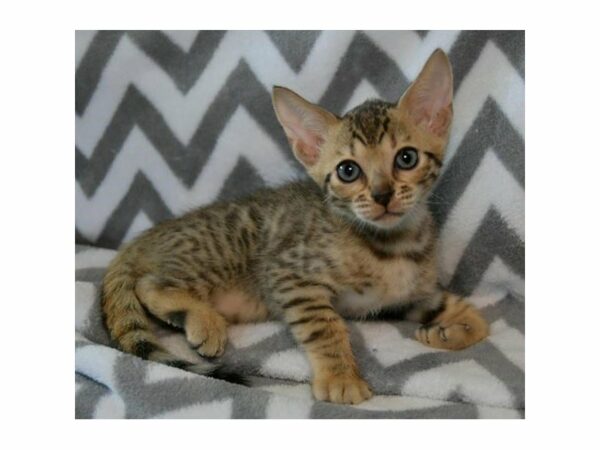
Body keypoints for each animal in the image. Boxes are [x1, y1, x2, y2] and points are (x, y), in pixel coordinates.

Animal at [102, 49, 488, 404]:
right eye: (348, 170)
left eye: (406, 158)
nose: (382, 196)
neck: (393, 242)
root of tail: (148, 235)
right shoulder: (289, 275)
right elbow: (323, 326)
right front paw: (340, 377)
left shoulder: (406, 297)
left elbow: (475, 319)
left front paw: (449, 332)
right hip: (216, 256)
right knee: (148, 284)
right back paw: (203, 321)